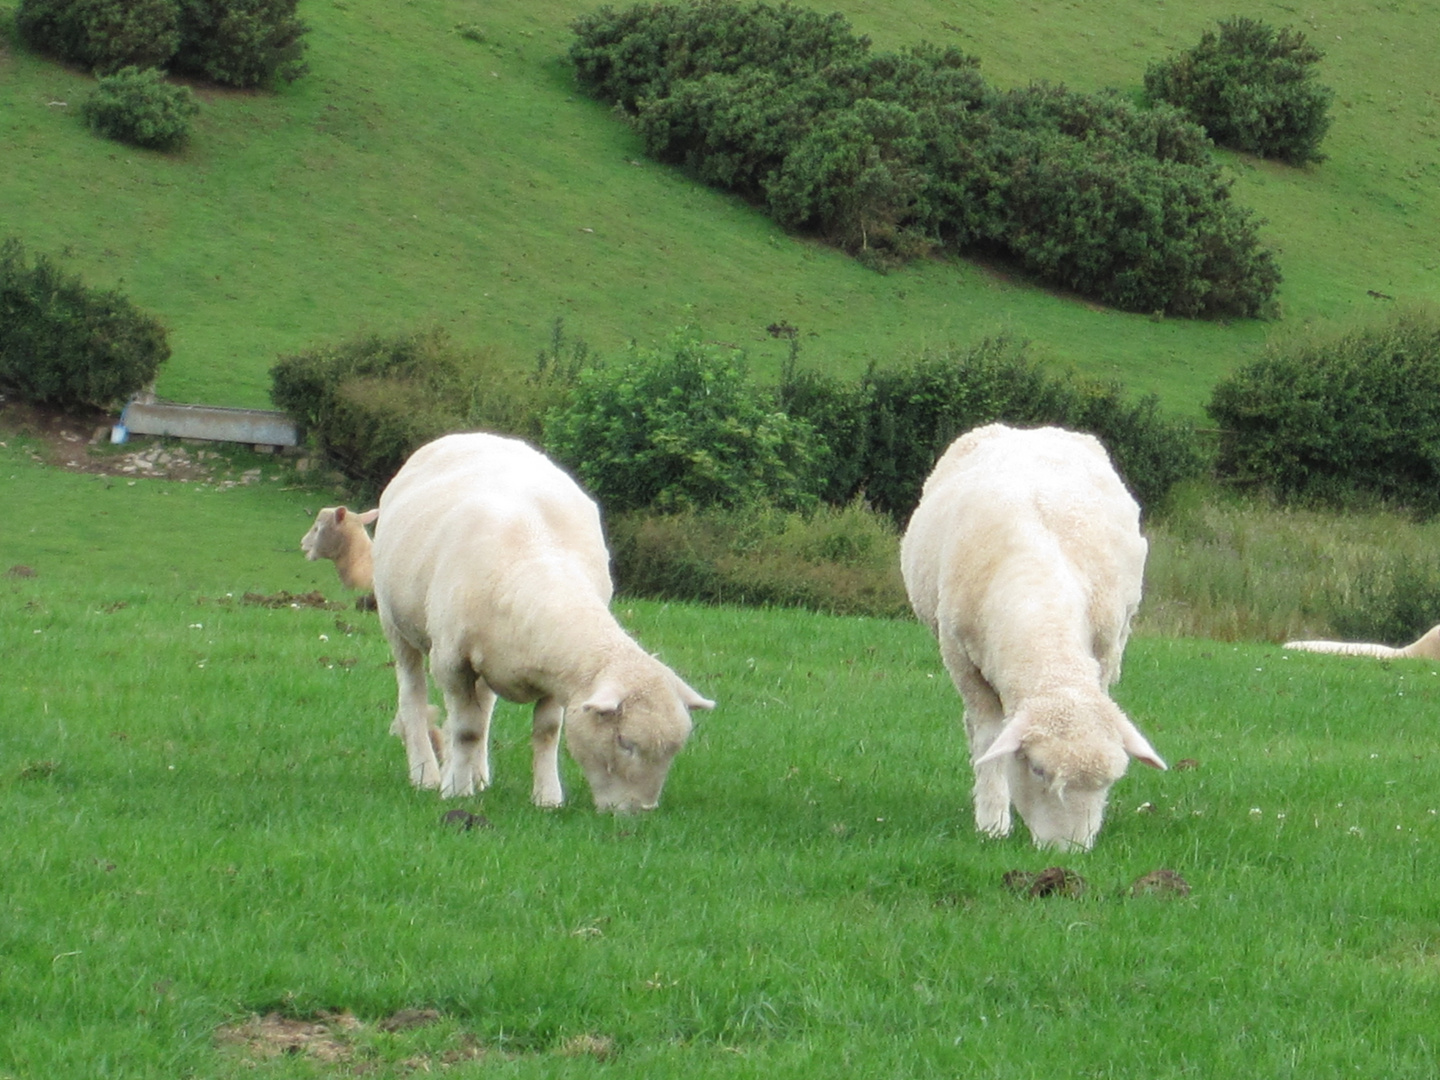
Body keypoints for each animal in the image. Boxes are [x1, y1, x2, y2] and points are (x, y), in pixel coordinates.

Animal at [368, 432, 711, 812]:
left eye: (673, 750)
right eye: (624, 741)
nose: (639, 813)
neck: (536, 557)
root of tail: (470, 434)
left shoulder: (559, 674)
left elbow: (545, 730)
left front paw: (547, 798)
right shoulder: (451, 662)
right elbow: (464, 730)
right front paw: (455, 790)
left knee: (483, 708)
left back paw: (479, 775)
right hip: (395, 624)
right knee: (413, 695)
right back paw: (426, 775)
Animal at [898, 423, 1169, 852]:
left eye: (1110, 781)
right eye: (1039, 771)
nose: (1070, 854)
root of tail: (1028, 428)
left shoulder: (1105, 650)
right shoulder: (961, 659)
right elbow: (989, 737)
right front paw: (992, 823)